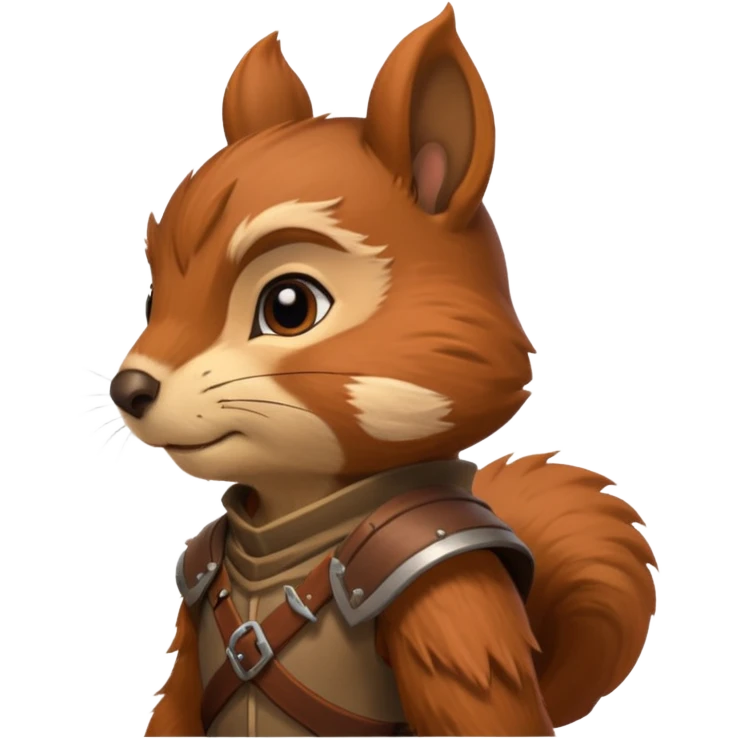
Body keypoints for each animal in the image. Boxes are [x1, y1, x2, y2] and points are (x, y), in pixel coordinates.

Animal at [111, 4, 658, 737]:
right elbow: (176, 706)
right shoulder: (198, 585)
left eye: (289, 306)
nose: (129, 389)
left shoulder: (448, 597)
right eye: (152, 299)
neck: (282, 535)